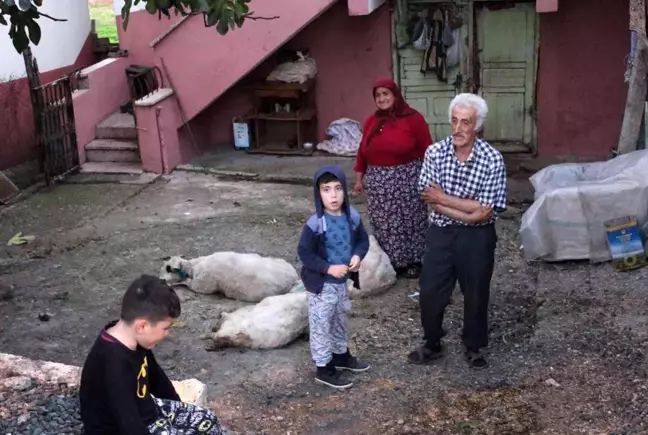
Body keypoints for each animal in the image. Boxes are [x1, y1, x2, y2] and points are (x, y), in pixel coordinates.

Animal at [159, 252, 298, 304]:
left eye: (168, 268)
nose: (160, 280)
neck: (194, 267)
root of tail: (293, 277)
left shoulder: (202, 286)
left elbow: (186, 283)